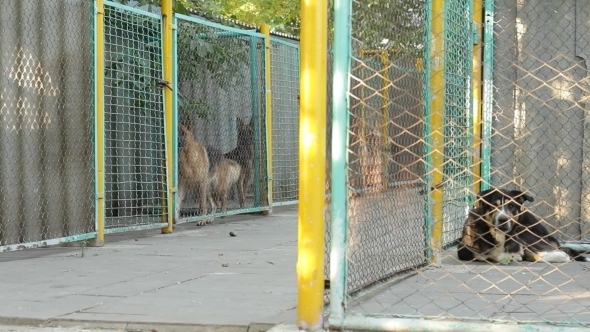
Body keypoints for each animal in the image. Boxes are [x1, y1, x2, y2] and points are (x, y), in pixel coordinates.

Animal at [458, 188, 590, 264]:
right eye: (493, 206)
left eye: (511, 206)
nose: (503, 219)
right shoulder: (464, 250)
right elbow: (489, 255)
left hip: (523, 230)